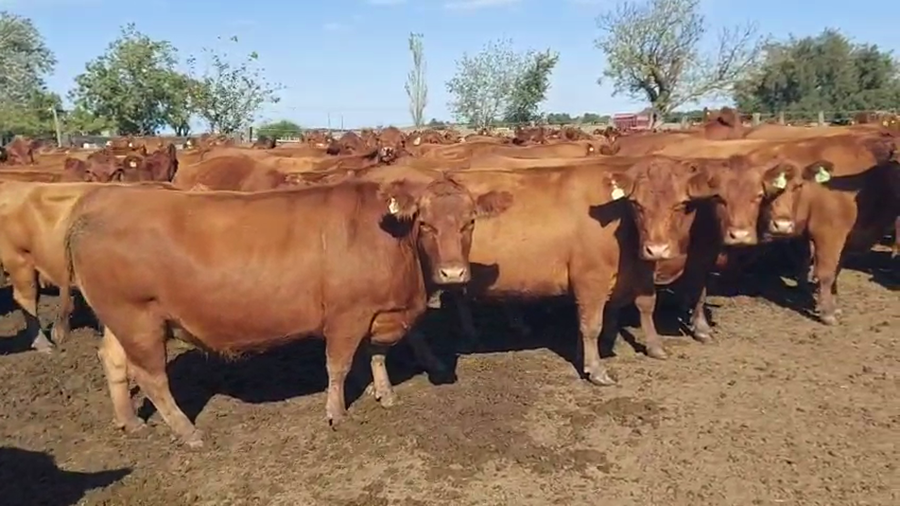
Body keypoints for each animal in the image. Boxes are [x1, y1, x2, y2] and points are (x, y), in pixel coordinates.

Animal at [64, 178, 513, 447]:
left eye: (470, 222)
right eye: (426, 224)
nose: (453, 273)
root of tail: (102, 197)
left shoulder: (378, 313)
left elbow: (377, 356)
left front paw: (384, 393)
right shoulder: (347, 316)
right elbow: (339, 365)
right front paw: (336, 414)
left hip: (119, 320)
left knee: (112, 360)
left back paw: (129, 421)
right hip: (138, 319)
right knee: (152, 377)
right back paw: (188, 432)